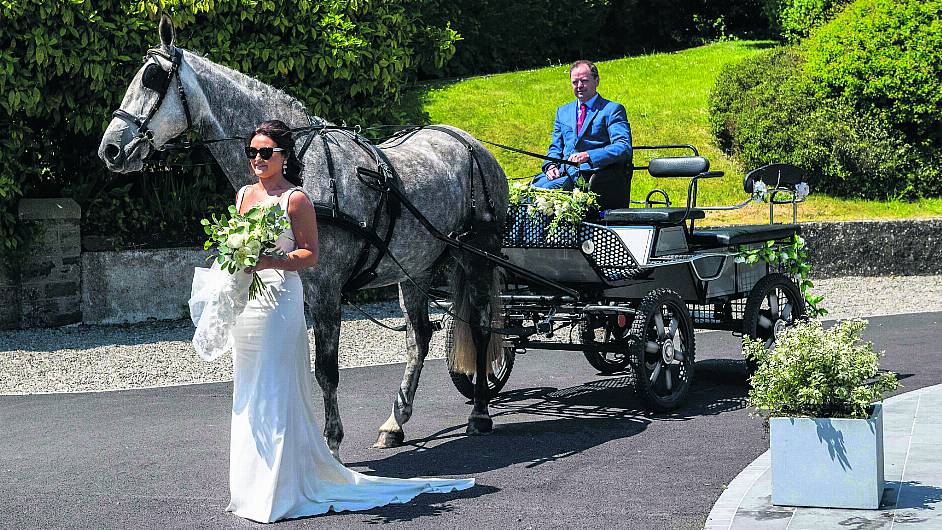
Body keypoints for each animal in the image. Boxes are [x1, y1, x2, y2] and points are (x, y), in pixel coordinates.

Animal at [98, 14, 508, 456]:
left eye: (152, 78)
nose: (110, 149)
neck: (296, 166)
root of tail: (475, 146)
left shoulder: (326, 289)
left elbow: (326, 371)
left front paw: (331, 447)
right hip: (415, 269)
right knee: (419, 338)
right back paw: (395, 422)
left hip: (477, 255)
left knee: (481, 326)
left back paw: (480, 412)